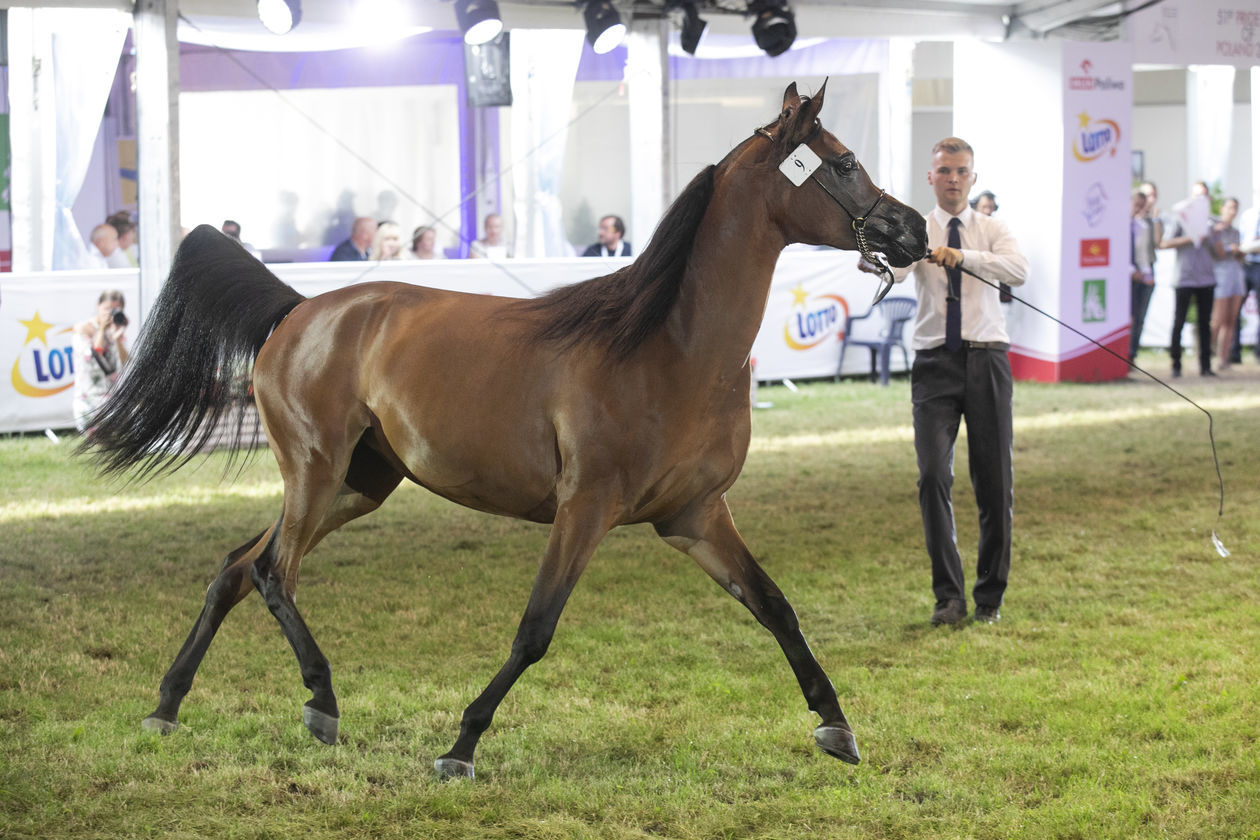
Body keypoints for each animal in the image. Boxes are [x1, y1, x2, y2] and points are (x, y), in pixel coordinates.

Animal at [81, 81, 927, 780]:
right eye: (845, 164)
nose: (914, 229)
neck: (669, 346)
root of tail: (299, 309)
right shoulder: (585, 508)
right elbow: (535, 631)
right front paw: (460, 745)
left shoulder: (695, 516)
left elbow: (776, 607)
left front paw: (838, 728)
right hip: (316, 471)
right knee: (270, 573)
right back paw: (320, 701)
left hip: (359, 483)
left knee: (234, 568)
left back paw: (167, 705)